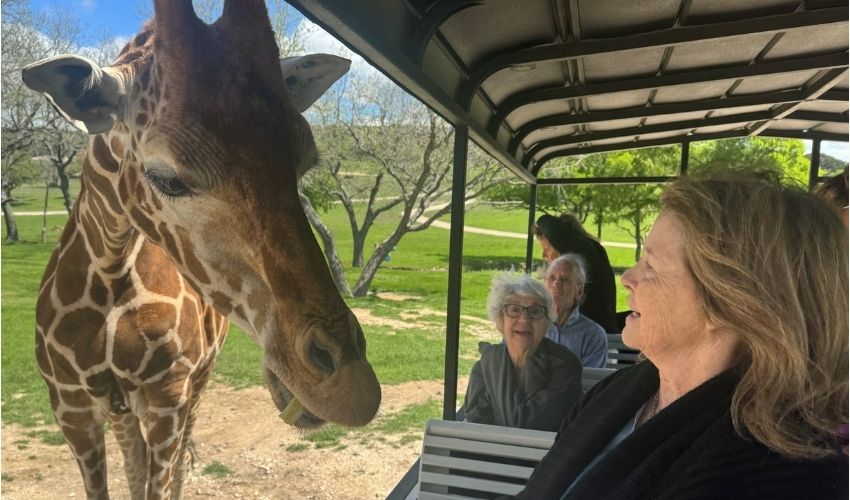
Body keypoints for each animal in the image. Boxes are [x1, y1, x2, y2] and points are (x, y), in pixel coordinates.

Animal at [21, 1, 381, 498]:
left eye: (305, 161)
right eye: (167, 178)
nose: (351, 388)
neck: (109, 272)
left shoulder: (168, 396)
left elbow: (162, 482)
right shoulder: (70, 408)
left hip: (198, 382)